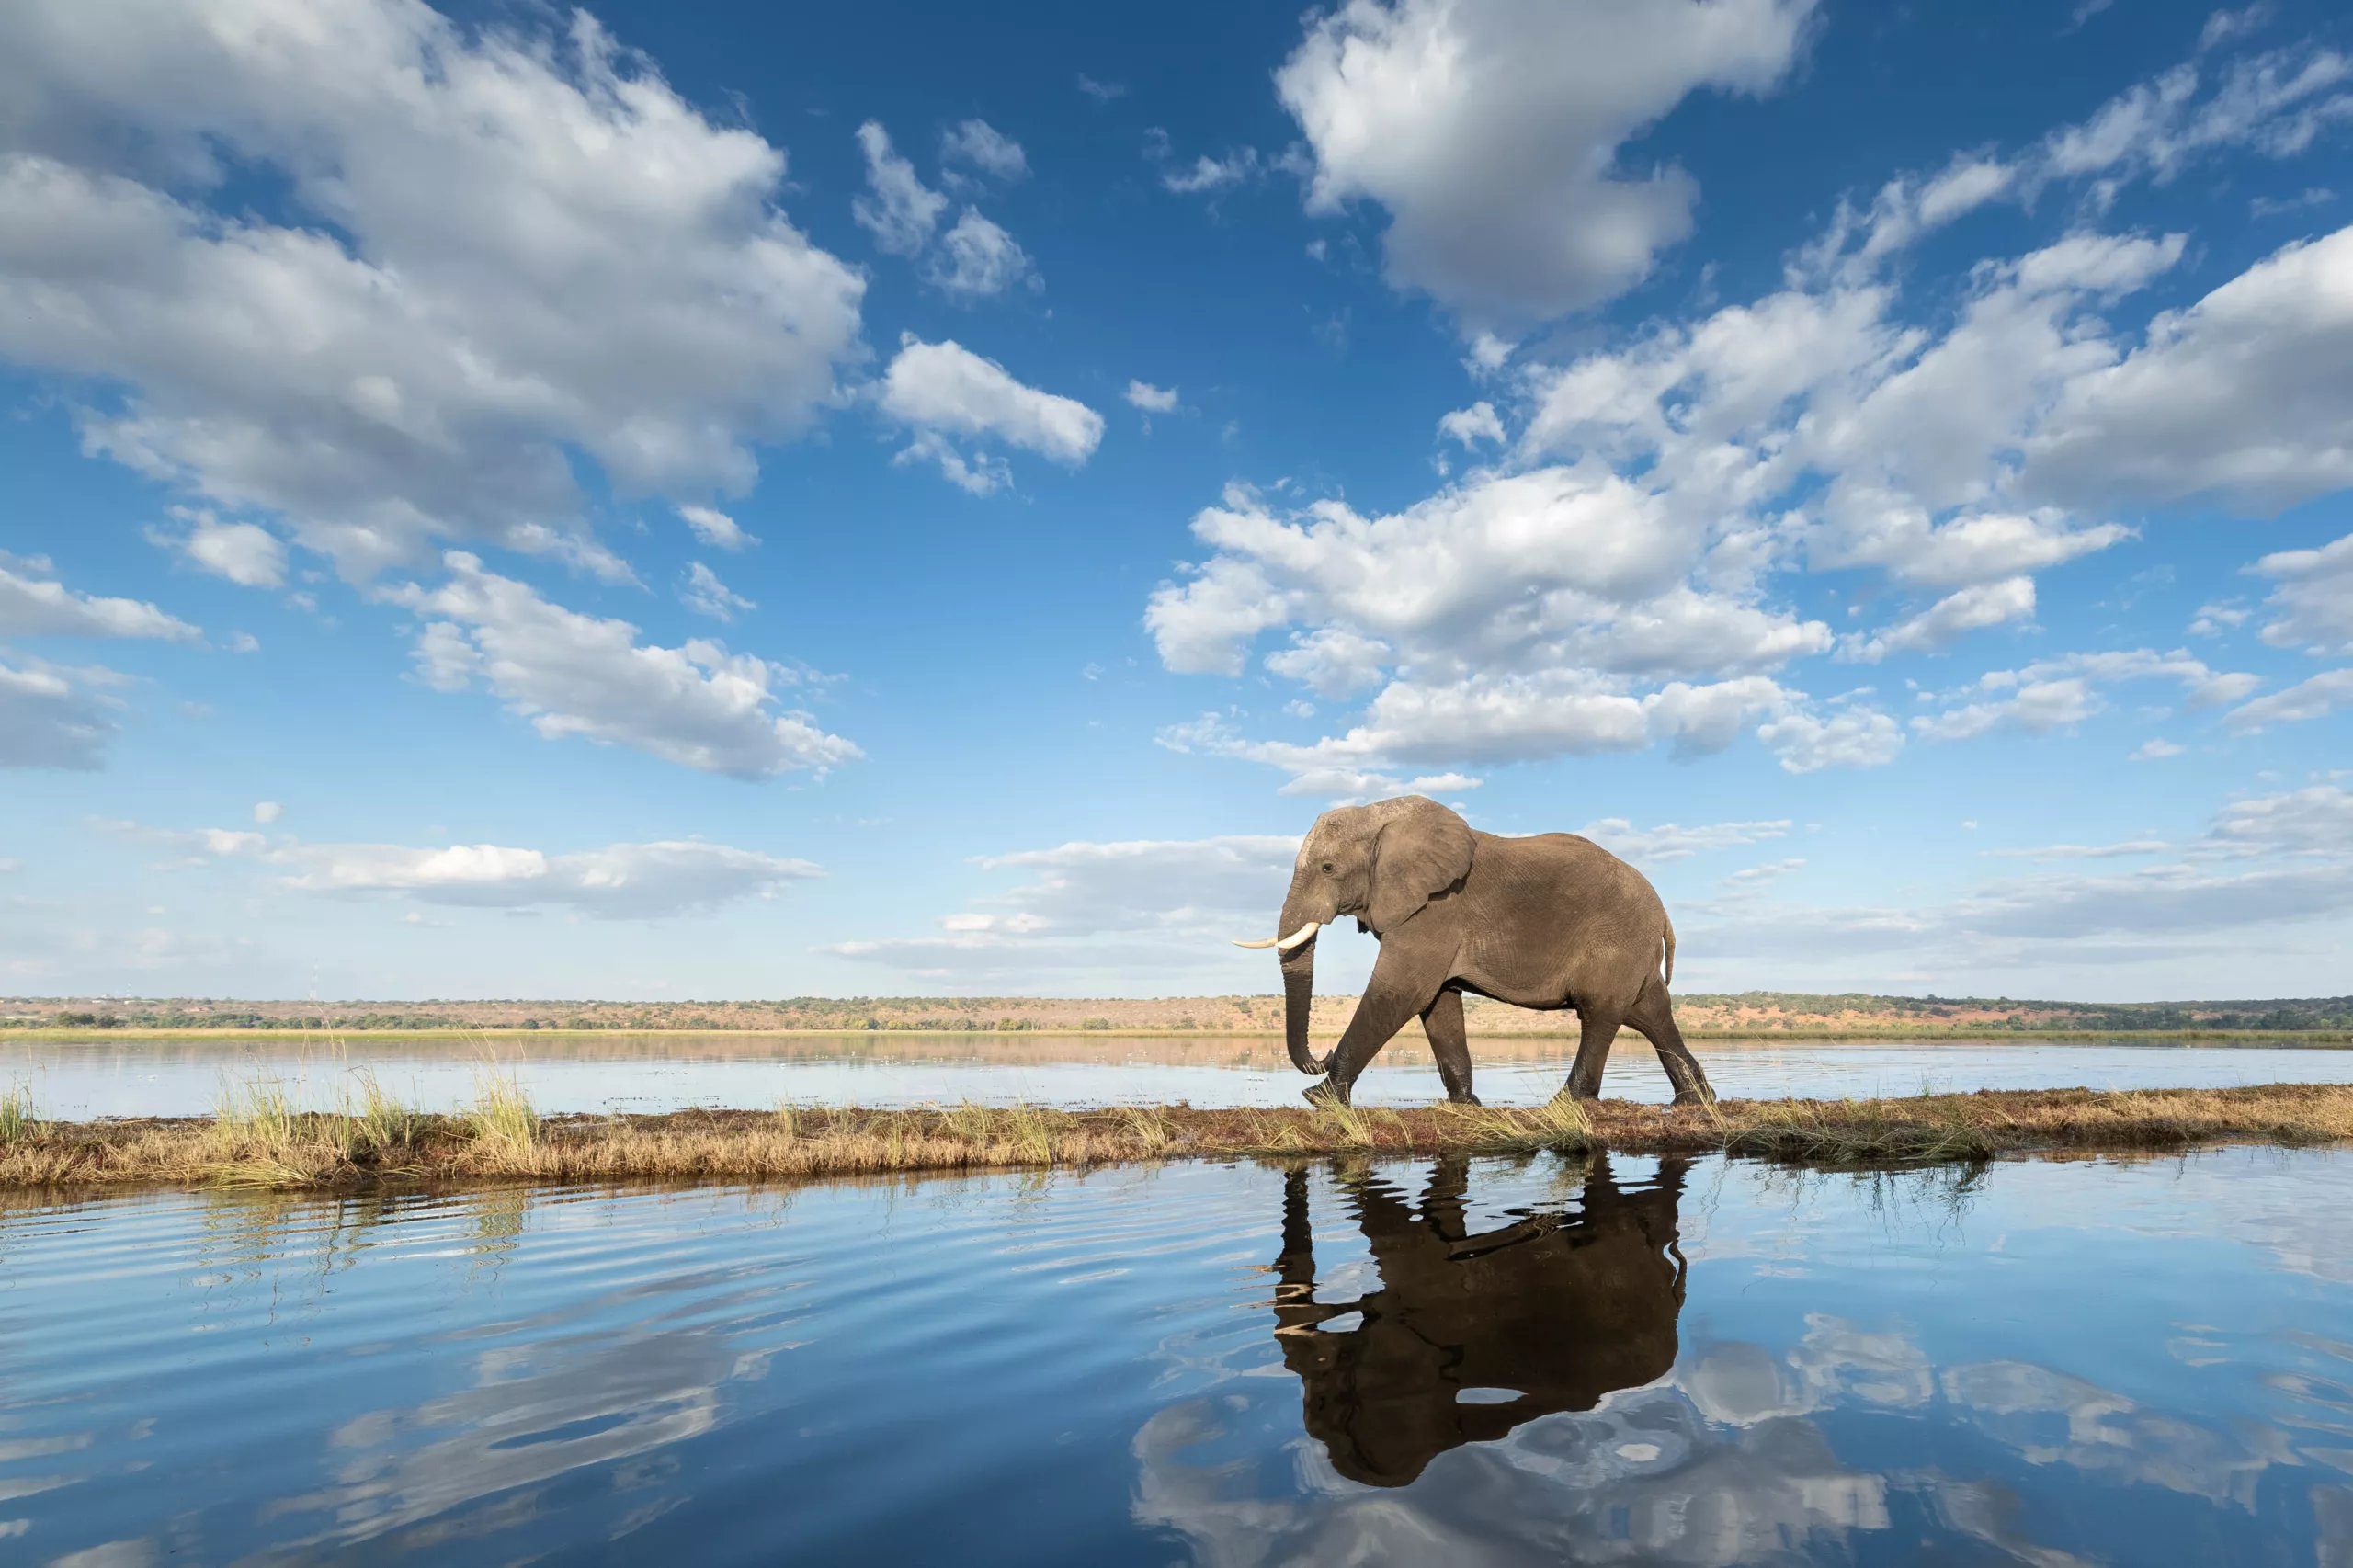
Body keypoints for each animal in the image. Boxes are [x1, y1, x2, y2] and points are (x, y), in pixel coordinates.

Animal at [1242, 795, 1722, 1096]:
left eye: (1328, 868)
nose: (1319, 1055)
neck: (1382, 815)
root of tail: (1663, 912)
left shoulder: (1435, 910)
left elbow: (1400, 992)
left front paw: (1318, 1099)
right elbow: (1437, 1002)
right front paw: (1465, 1105)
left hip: (1617, 942)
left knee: (1601, 1015)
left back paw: (1565, 1105)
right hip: (1634, 952)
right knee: (1650, 1013)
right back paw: (1696, 1100)